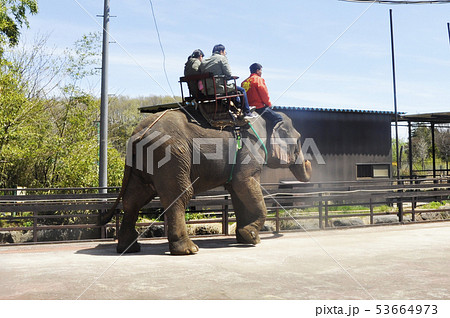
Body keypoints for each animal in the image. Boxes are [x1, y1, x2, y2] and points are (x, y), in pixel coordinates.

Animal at [99, 108, 312, 255]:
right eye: (299, 141)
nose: (309, 162)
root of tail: (138, 133)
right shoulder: (249, 151)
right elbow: (245, 183)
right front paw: (251, 236)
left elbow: (237, 191)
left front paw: (246, 238)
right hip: (172, 155)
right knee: (179, 195)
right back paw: (189, 250)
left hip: (143, 163)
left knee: (134, 199)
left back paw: (129, 248)